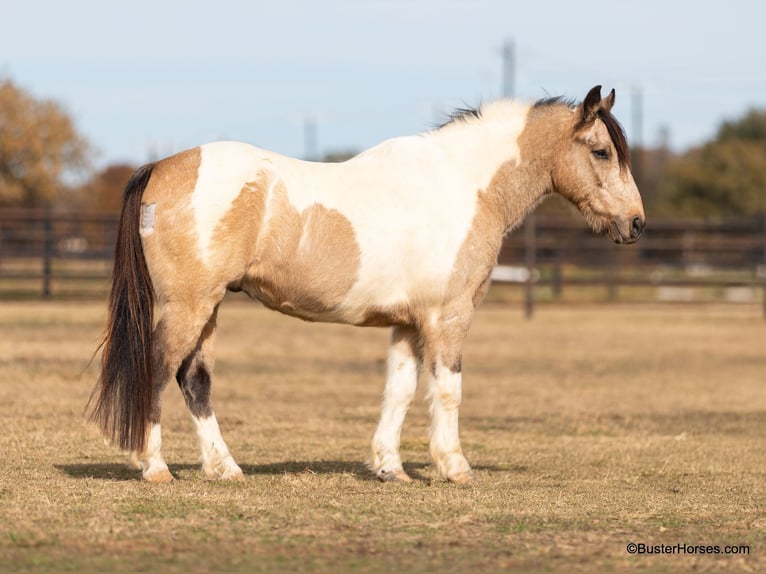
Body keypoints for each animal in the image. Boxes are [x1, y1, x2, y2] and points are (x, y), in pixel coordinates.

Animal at [88, 85, 645, 484]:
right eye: (600, 151)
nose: (636, 223)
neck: (460, 186)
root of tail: (160, 167)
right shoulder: (448, 316)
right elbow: (448, 390)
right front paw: (455, 467)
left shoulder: (408, 323)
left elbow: (399, 390)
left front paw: (388, 467)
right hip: (190, 305)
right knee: (158, 370)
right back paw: (155, 467)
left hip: (208, 308)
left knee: (194, 379)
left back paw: (225, 469)